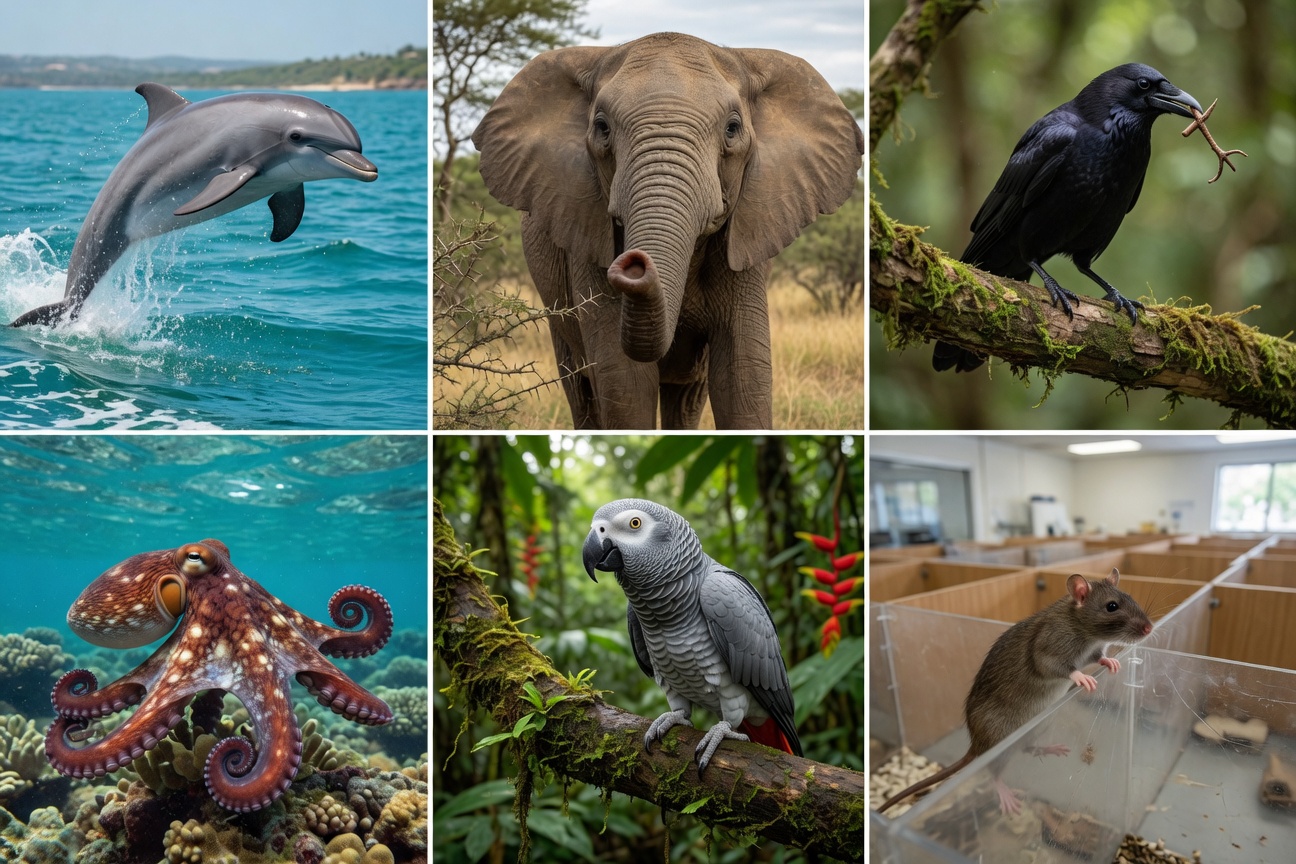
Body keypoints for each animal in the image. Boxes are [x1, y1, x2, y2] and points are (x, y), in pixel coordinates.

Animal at [472, 32, 864, 429]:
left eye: (732, 129)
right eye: (602, 128)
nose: (634, 263)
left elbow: (743, 377)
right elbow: (625, 382)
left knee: (688, 397)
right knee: (581, 390)